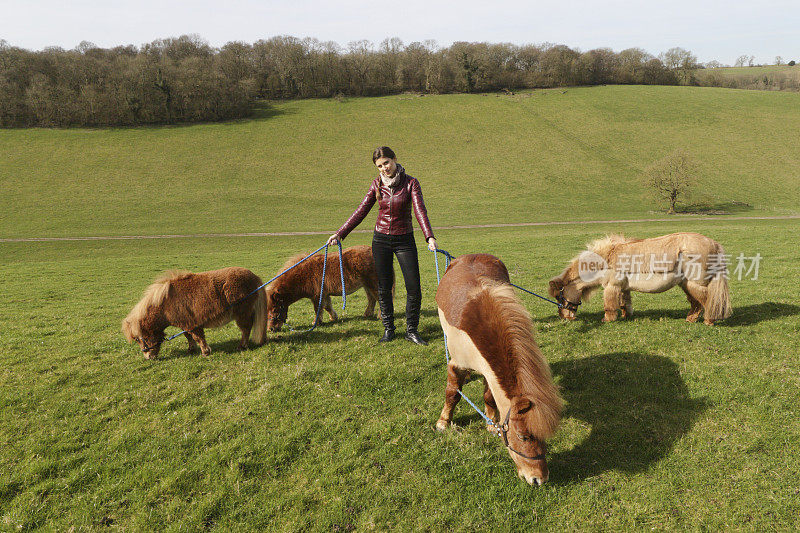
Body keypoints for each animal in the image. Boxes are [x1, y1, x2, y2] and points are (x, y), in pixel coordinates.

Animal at [120, 266, 268, 358]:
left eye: (139, 339)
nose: (148, 357)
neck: (165, 304)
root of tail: (254, 277)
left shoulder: (192, 324)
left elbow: (198, 337)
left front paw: (205, 352)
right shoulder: (185, 325)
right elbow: (188, 336)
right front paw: (191, 349)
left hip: (242, 313)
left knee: (246, 329)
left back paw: (242, 346)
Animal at [552, 231, 732, 322]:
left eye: (559, 296)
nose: (564, 318)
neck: (606, 258)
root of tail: (714, 244)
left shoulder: (611, 287)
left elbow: (609, 305)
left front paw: (608, 320)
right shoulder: (622, 288)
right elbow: (624, 303)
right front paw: (626, 316)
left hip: (696, 283)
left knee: (708, 301)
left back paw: (709, 321)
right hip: (687, 284)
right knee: (696, 303)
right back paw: (691, 319)